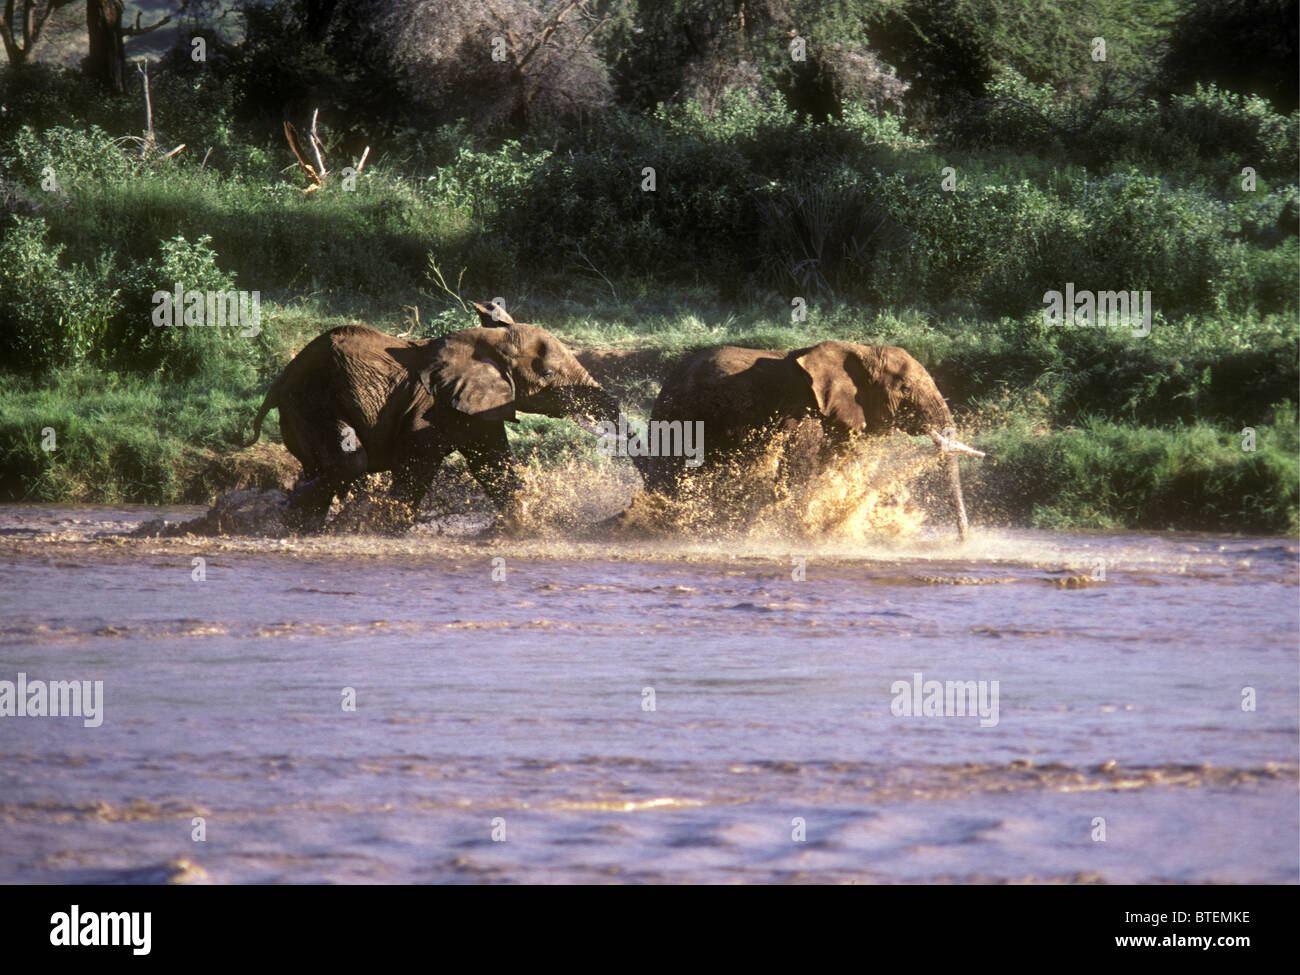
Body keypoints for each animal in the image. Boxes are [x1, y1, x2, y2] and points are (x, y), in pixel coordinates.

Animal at [248, 304, 624, 535]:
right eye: (547, 374)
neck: (484, 341)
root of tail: (279, 380)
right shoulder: (433, 406)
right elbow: (418, 458)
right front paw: (383, 529)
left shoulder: (477, 402)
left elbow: (493, 461)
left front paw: (518, 528)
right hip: (311, 400)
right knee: (350, 460)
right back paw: (293, 514)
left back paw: (300, 523)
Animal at [634, 340, 977, 543]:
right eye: (904, 388)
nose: (963, 541)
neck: (859, 348)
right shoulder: (802, 408)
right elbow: (798, 470)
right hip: (678, 412)